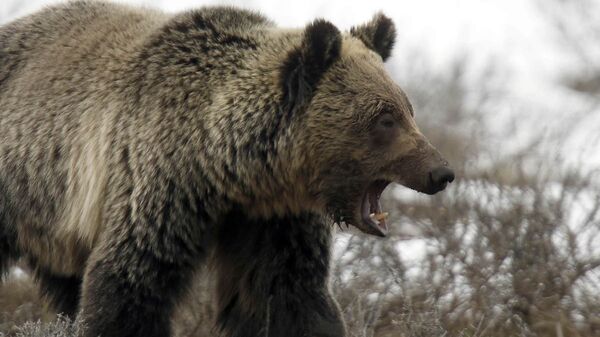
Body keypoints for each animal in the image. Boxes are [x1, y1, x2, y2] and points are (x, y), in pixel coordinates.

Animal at [0, 1, 452, 334]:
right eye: (385, 119)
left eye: (408, 109)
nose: (441, 172)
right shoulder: (158, 186)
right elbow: (129, 283)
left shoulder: (272, 220)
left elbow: (286, 295)